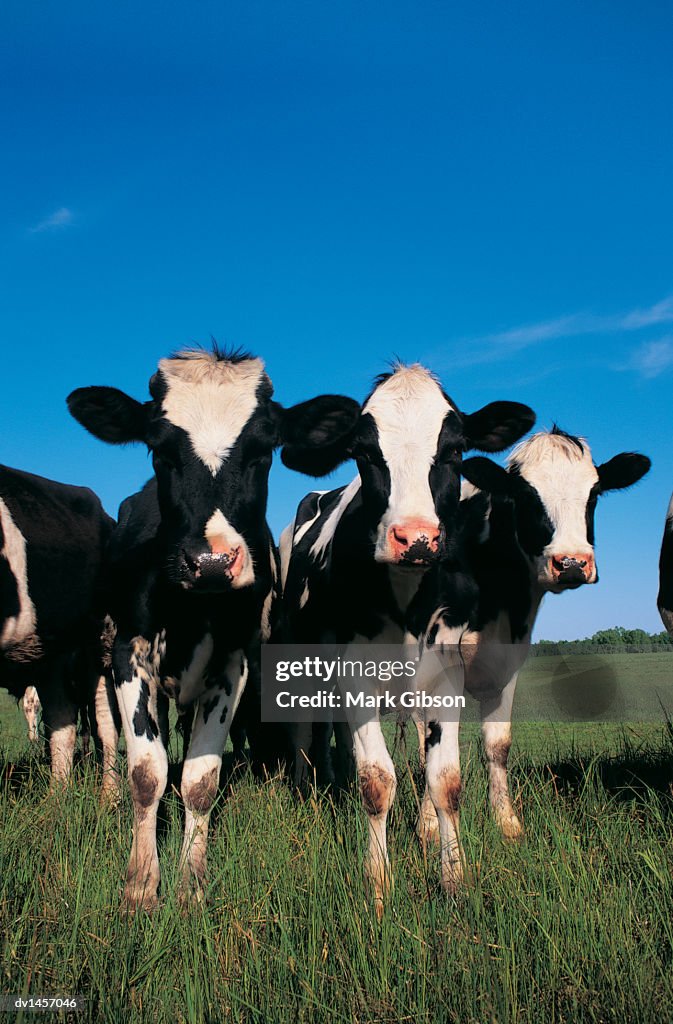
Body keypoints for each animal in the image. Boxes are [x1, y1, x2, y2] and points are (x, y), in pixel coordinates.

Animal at [0, 464, 116, 782]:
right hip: (49, 653)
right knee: (62, 722)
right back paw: (57, 792)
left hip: (101, 643)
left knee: (105, 723)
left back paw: (109, 792)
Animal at [68, 346, 360, 913]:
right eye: (159, 448)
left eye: (264, 449)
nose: (210, 562)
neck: (194, 610)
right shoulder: (128, 653)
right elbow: (147, 772)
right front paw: (141, 883)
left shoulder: (233, 663)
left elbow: (200, 779)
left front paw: (190, 884)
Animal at [278, 364, 536, 909]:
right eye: (364, 452)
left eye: (455, 451)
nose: (416, 537)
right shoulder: (354, 674)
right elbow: (376, 781)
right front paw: (378, 887)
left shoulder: (446, 674)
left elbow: (445, 780)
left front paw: (454, 878)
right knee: (305, 732)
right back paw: (309, 792)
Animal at [411, 423, 647, 888]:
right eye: (523, 495)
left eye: (594, 493)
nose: (571, 563)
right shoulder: (438, 664)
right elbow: (440, 758)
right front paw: (434, 836)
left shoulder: (509, 663)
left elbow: (497, 745)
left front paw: (507, 826)